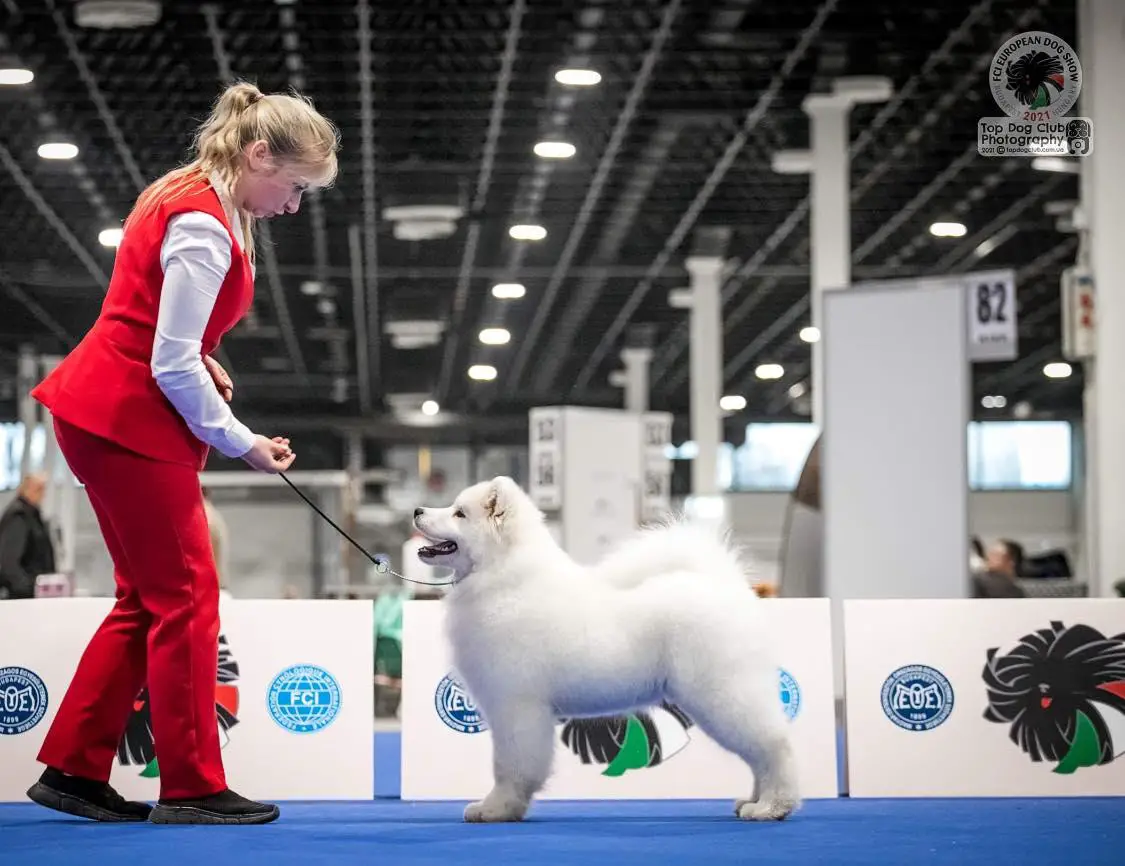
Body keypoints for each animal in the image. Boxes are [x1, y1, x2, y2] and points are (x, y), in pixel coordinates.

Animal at [414, 476, 801, 818]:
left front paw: (496, 809)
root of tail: (724, 585)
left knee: (774, 745)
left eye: (459, 514)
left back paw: (772, 806)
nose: (417, 510)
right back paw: (753, 801)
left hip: (722, 693)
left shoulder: (517, 706)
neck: (503, 580)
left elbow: (510, 767)